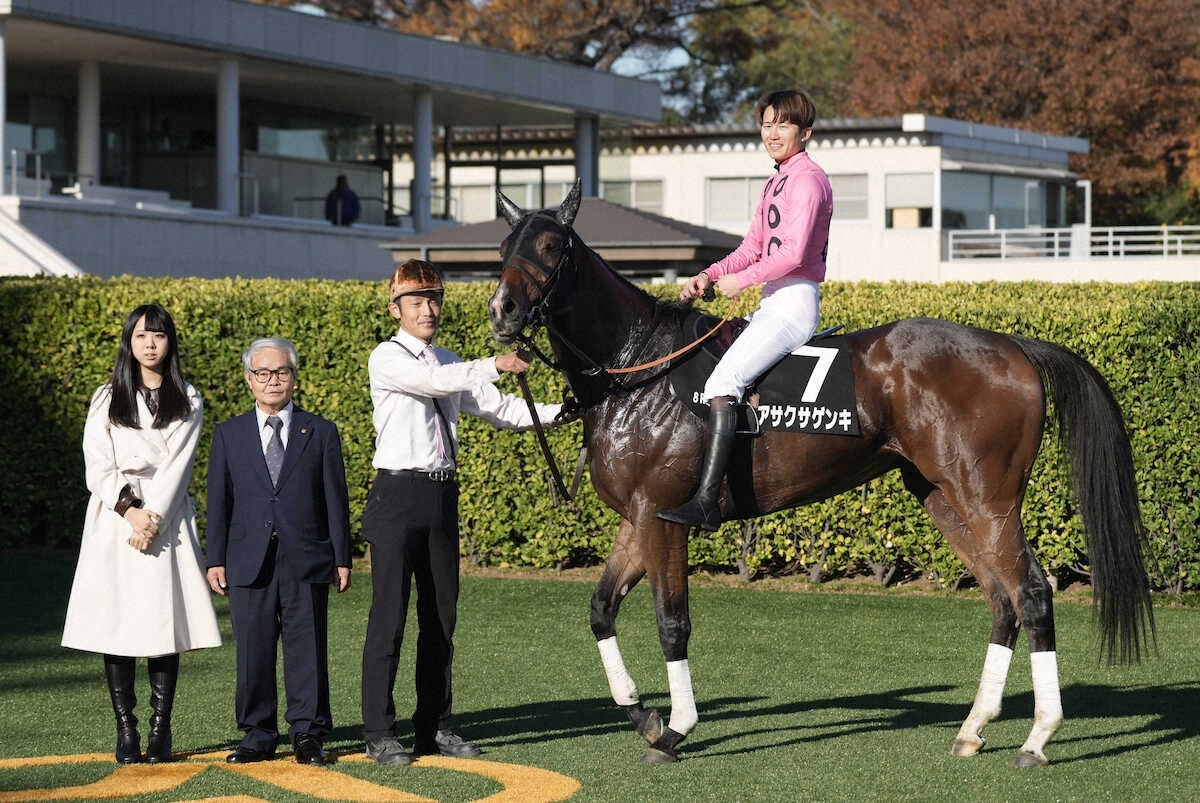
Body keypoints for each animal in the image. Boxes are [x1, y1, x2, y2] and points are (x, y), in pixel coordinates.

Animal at [487, 181, 1155, 767]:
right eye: (503, 246)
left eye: (552, 246)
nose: (501, 310)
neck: (637, 368)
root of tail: (1013, 346)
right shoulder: (640, 517)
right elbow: (601, 609)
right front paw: (643, 714)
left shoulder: (664, 518)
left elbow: (671, 622)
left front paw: (675, 730)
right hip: (943, 497)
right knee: (1003, 597)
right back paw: (973, 729)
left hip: (988, 499)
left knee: (1033, 594)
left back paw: (1038, 738)